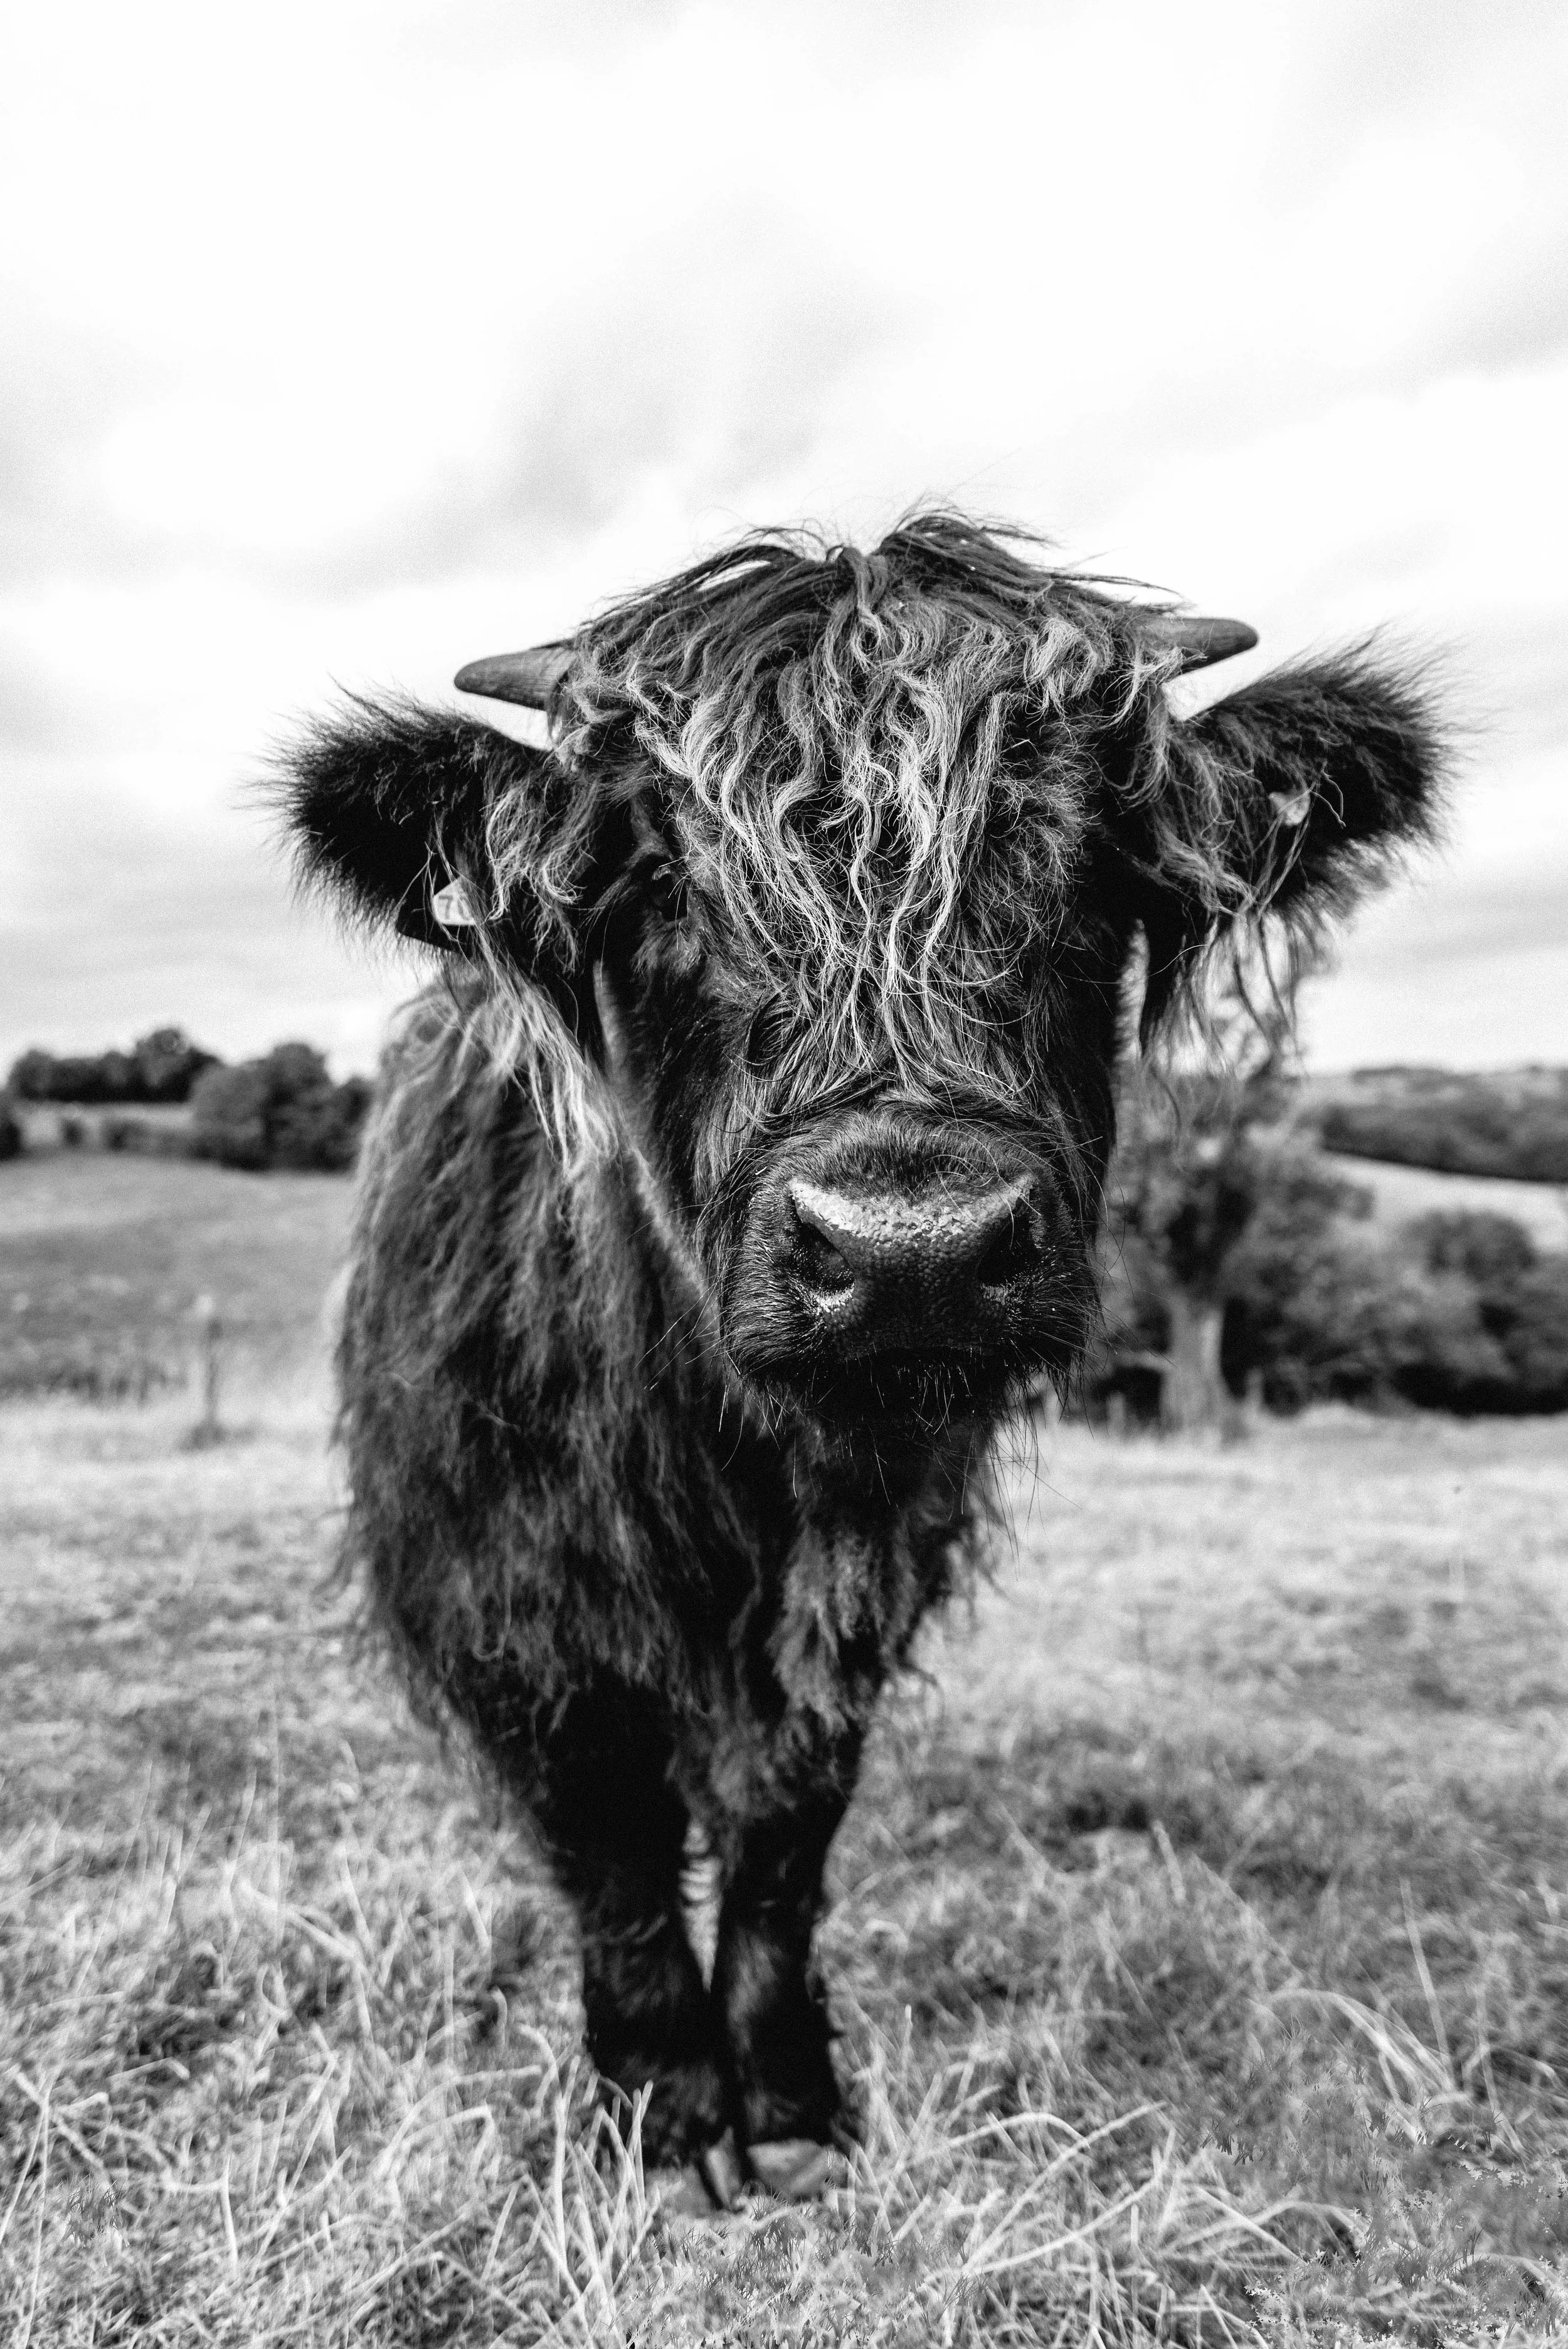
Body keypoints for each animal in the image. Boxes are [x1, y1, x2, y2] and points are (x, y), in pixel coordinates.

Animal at [280, 513, 1441, 2204]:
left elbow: (782, 1839)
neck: (725, 1464)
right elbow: (614, 1854)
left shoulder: (865, 1581)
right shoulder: (507, 1601)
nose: (912, 1250)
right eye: (656, 882)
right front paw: (663, 2110)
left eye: (1092, 873)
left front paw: (783, 2102)